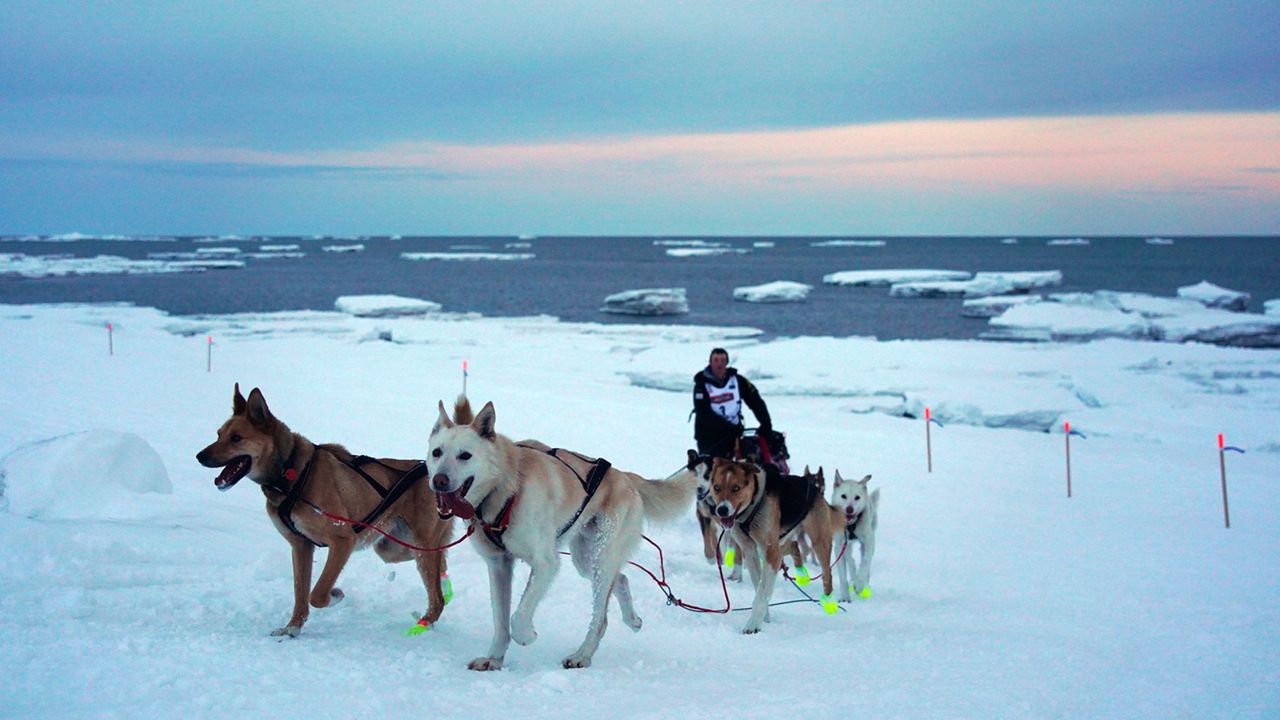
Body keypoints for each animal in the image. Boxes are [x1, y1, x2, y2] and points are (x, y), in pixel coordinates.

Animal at [197, 384, 458, 635]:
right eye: (219, 434)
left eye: (236, 438)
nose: (200, 456)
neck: (290, 473)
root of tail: (435, 475)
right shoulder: (300, 545)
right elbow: (300, 592)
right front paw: (292, 628)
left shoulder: (342, 540)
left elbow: (317, 593)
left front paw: (335, 595)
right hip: (392, 546)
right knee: (437, 568)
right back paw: (444, 588)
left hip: (420, 546)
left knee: (436, 597)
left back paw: (424, 621)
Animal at [706, 456, 834, 630]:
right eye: (717, 487)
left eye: (736, 488)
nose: (722, 510)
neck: (754, 502)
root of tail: (812, 485)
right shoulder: (750, 550)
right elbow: (759, 586)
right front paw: (765, 617)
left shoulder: (770, 552)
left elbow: (762, 590)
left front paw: (753, 624)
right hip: (781, 541)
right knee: (793, 547)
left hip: (819, 542)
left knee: (827, 575)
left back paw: (829, 603)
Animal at [829, 471, 880, 599]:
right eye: (843, 496)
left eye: (857, 497)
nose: (849, 509)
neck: (851, 526)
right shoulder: (839, 546)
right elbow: (843, 574)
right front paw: (845, 597)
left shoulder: (868, 542)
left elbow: (865, 563)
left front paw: (860, 584)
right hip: (847, 545)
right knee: (850, 560)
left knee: (865, 562)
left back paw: (863, 582)